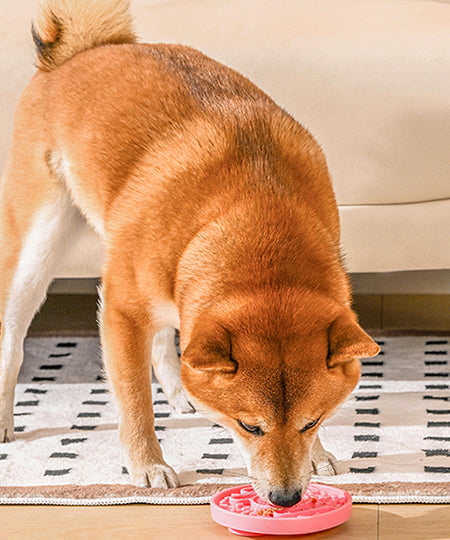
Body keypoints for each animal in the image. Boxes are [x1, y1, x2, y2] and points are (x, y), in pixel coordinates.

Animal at [0, 0, 380, 506]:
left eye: (311, 421)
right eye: (249, 426)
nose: (285, 499)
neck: (257, 209)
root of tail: (83, 52)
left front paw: (317, 456)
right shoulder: (121, 311)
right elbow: (134, 399)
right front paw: (148, 465)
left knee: (166, 337)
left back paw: (181, 391)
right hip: (38, 245)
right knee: (12, 338)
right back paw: (5, 417)